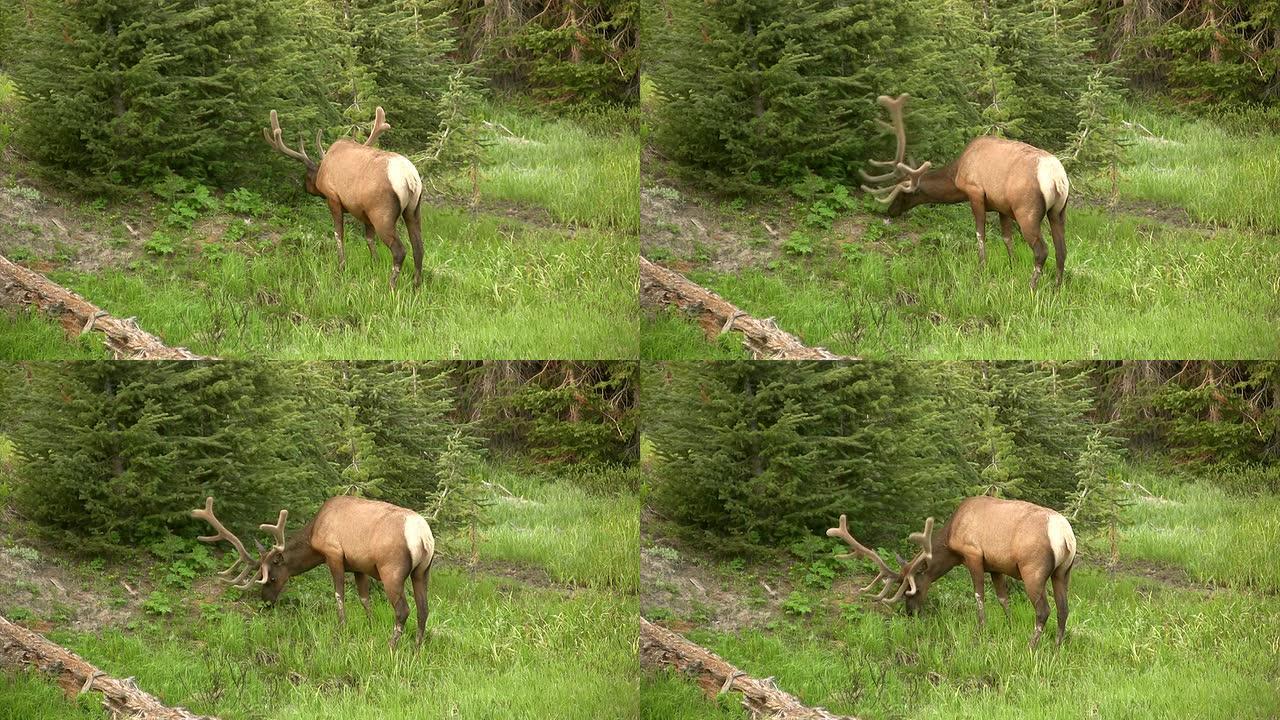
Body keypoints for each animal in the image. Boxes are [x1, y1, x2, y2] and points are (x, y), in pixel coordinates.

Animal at [192, 489, 435, 648]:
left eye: (272, 578)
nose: (266, 601)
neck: (314, 535)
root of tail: (423, 536)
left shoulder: (334, 554)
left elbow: (339, 595)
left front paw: (342, 628)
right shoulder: (359, 566)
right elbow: (364, 599)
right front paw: (370, 624)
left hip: (391, 569)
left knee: (403, 610)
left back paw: (392, 646)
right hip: (422, 571)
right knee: (423, 608)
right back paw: (417, 646)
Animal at [262, 104, 427, 288]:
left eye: (307, 176)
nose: (305, 187)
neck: (322, 171)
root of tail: (410, 178)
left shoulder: (333, 198)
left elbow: (338, 234)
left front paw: (341, 266)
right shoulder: (364, 213)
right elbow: (369, 239)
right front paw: (375, 263)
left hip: (382, 213)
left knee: (400, 250)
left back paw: (391, 286)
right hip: (413, 210)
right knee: (419, 247)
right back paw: (416, 284)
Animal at [829, 497, 1080, 648]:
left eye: (912, 589)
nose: (910, 613)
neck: (951, 537)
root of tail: (1065, 534)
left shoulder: (973, 554)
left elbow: (979, 595)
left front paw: (981, 630)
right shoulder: (995, 566)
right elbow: (1003, 598)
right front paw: (1008, 627)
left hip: (1033, 569)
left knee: (1044, 610)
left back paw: (1031, 646)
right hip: (1063, 571)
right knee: (1063, 608)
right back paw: (1057, 646)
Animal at [860, 92, 1070, 288]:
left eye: (903, 194)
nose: (890, 211)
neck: (956, 174)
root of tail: (1057, 177)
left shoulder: (975, 191)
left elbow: (980, 234)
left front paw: (981, 269)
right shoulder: (1002, 206)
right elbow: (1007, 238)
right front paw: (1012, 267)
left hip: (1027, 211)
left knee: (1042, 250)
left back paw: (1032, 287)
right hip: (1058, 211)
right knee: (1062, 249)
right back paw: (1057, 287)